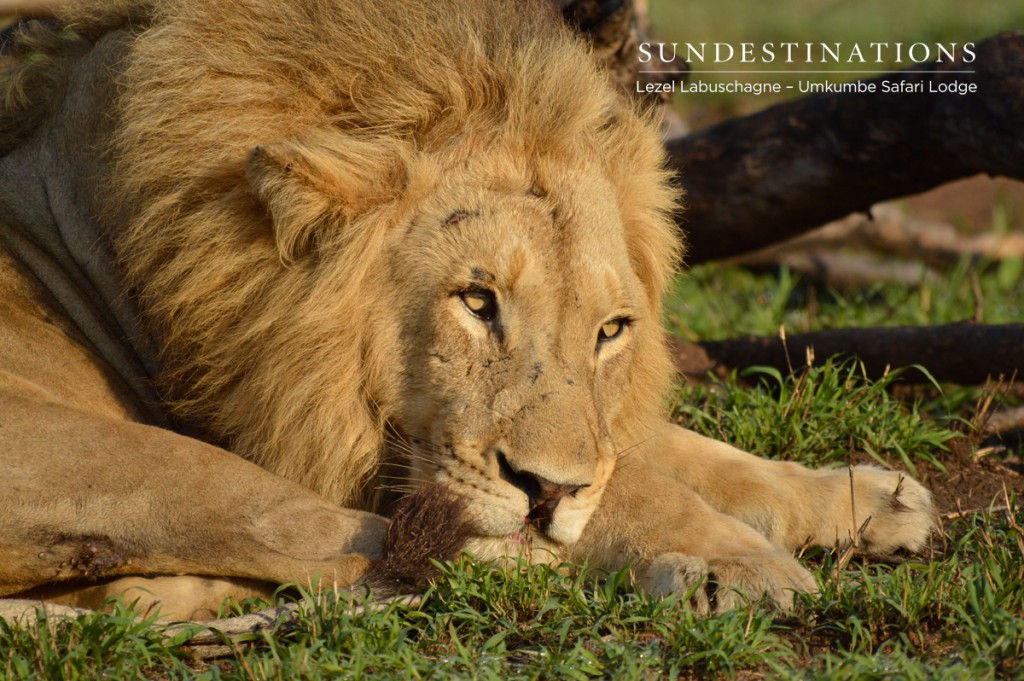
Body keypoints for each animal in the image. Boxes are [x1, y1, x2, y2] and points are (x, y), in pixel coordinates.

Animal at [0, 0, 933, 622]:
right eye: (477, 301)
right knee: (365, 545)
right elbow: (629, 485)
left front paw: (868, 497)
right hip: (108, 455)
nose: (549, 492)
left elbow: (649, 449)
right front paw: (737, 561)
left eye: (610, 330)